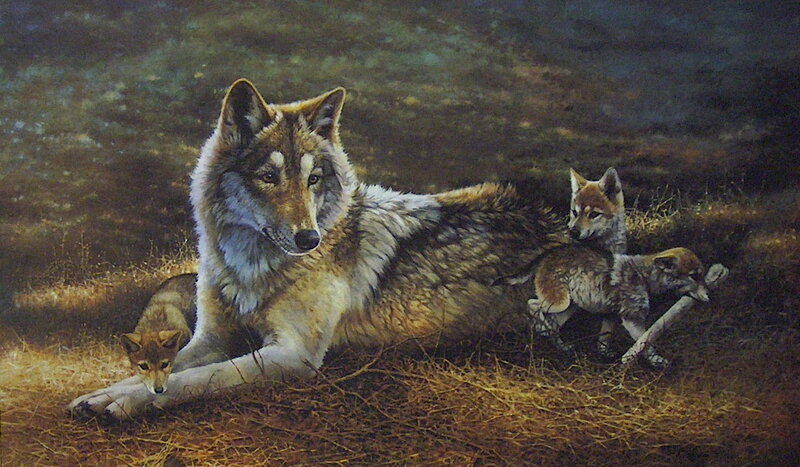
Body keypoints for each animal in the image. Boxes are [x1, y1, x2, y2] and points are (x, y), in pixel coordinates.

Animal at [68, 79, 570, 420]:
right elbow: (166, 367)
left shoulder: (293, 356)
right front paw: (111, 390)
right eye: (269, 177)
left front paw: (125, 401)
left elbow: (196, 379)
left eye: (313, 179)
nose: (309, 239)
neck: (251, 268)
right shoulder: (211, 338)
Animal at [527, 245, 709, 368]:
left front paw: (605, 355)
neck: (644, 277)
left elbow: (604, 339)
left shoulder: (611, 317)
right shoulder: (632, 321)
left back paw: (559, 343)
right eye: (694, 276)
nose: (709, 296)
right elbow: (645, 344)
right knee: (532, 305)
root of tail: (550, 254)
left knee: (554, 325)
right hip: (560, 303)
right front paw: (658, 361)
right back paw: (542, 328)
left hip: (571, 306)